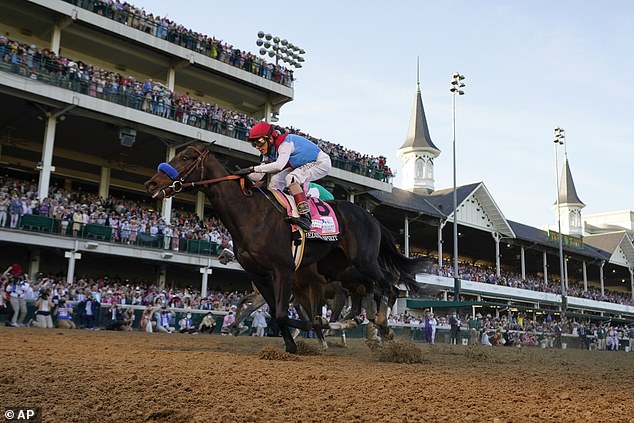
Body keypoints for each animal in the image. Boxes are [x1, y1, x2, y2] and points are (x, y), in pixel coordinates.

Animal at [144, 142, 424, 354]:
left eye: (186, 157)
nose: (152, 183)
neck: (251, 214)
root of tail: (372, 218)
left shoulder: (284, 271)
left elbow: (284, 314)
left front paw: (313, 330)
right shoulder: (262, 275)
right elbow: (274, 311)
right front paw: (291, 344)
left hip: (363, 259)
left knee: (387, 285)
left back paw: (382, 326)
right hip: (338, 267)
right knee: (366, 292)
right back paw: (368, 326)